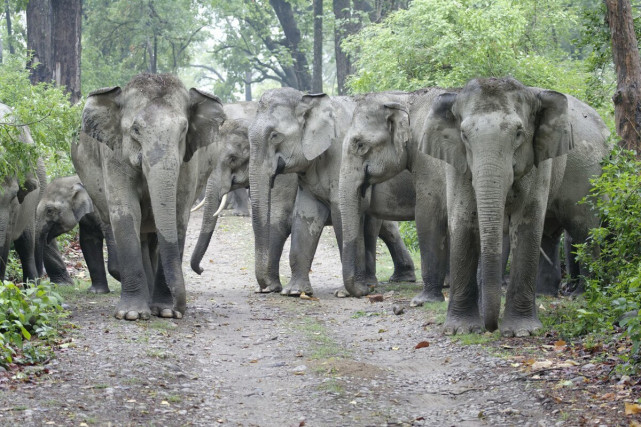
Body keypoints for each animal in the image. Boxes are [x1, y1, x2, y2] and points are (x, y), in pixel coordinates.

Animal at [70, 73, 224, 320]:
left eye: (183, 130)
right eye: (135, 130)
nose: (180, 308)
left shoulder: (188, 162)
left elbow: (178, 215)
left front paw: (166, 312)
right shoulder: (114, 154)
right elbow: (127, 212)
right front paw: (131, 315)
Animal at [248, 85, 418, 296]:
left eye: (274, 135)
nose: (266, 288)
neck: (308, 98)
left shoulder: (342, 160)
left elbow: (342, 215)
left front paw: (344, 293)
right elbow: (306, 215)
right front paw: (295, 292)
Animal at [338, 88, 448, 306]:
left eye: (360, 145)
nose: (365, 291)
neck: (407, 99)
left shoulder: (429, 156)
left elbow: (428, 210)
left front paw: (423, 300)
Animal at [420, 77, 608, 338]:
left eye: (519, 133)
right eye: (464, 135)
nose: (491, 328)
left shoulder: (539, 159)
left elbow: (527, 222)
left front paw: (522, 332)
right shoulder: (455, 160)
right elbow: (463, 220)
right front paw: (460, 330)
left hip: (588, 173)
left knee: (584, 230)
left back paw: (583, 296)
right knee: (551, 234)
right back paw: (544, 294)